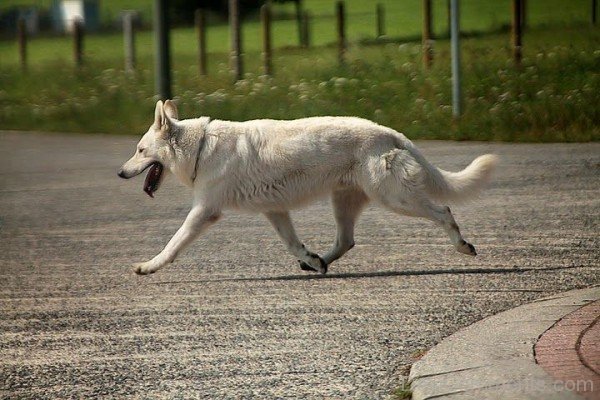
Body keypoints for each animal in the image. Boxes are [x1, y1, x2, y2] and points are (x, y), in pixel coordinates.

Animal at [117, 100, 496, 276]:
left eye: (139, 150)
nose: (120, 173)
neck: (200, 147)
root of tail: (392, 134)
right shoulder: (275, 211)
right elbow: (292, 244)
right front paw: (310, 259)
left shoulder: (204, 212)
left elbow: (173, 244)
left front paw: (148, 266)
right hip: (345, 204)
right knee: (346, 241)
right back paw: (320, 263)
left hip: (395, 199)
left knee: (444, 211)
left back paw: (463, 246)